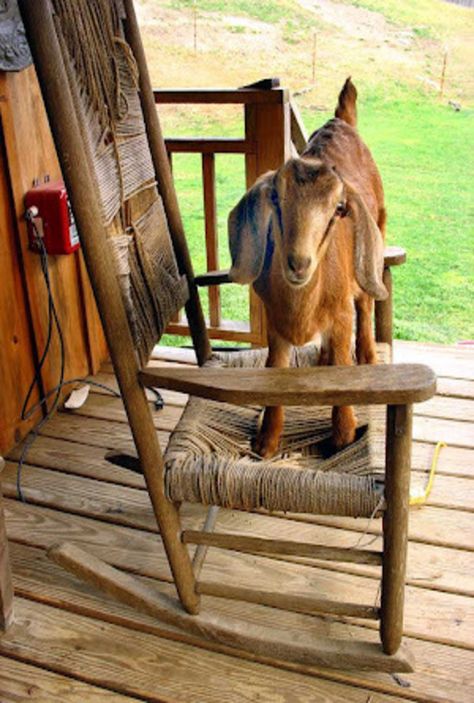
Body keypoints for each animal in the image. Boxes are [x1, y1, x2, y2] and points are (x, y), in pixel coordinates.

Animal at [228, 78, 386, 456]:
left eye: (339, 209)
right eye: (275, 198)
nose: (299, 263)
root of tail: (341, 120)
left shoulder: (341, 313)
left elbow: (343, 362)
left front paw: (343, 436)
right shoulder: (275, 324)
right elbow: (275, 369)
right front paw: (266, 442)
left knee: (365, 303)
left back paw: (368, 356)